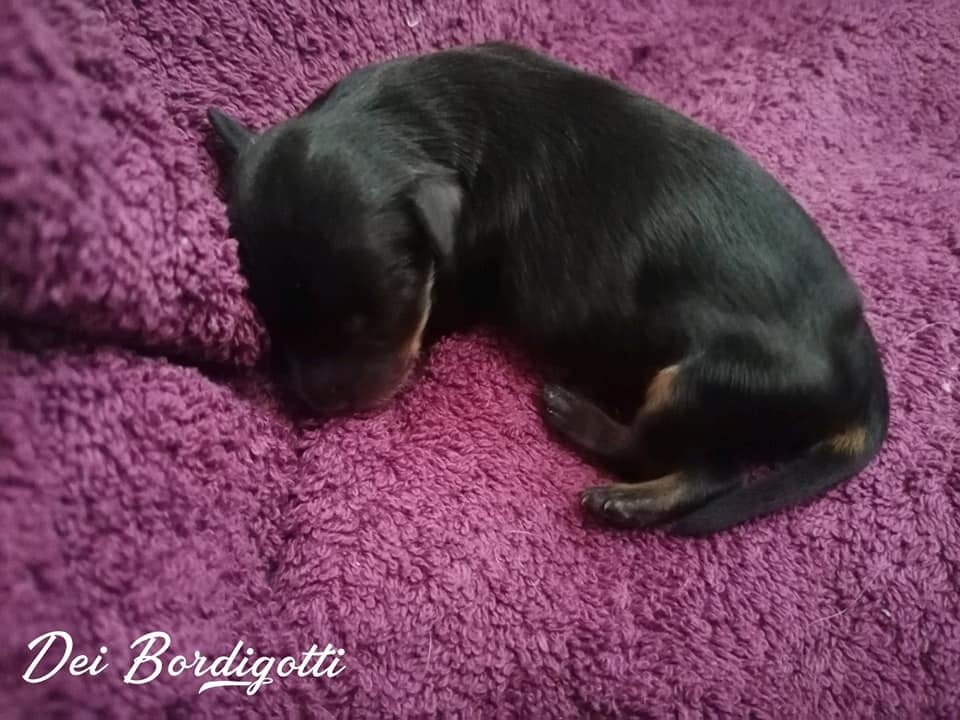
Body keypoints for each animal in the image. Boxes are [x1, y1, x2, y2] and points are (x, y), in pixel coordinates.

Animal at [208, 42, 888, 535]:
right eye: (273, 319)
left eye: (377, 318)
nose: (325, 405)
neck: (414, 120)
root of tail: (862, 375)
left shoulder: (457, 284)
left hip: (704, 383)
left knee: (697, 465)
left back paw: (593, 447)